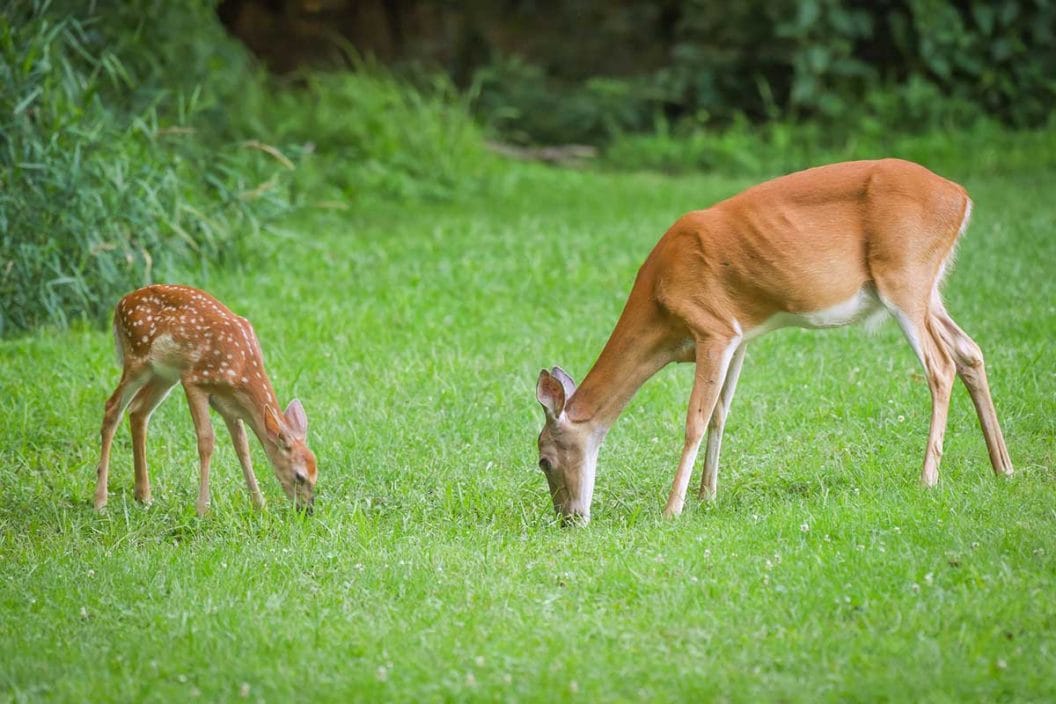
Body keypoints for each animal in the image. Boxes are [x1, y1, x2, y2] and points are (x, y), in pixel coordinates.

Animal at [96, 284, 312, 512]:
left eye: (316, 472)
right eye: (300, 476)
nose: (308, 509)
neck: (240, 367)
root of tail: (121, 303)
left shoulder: (229, 405)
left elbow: (242, 447)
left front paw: (259, 504)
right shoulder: (194, 381)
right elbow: (206, 440)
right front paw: (202, 508)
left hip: (165, 375)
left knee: (138, 411)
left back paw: (144, 496)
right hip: (137, 359)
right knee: (112, 407)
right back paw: (100, 501)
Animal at [536, 158, 1013, 523]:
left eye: (543, 459)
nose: (568, 519)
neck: (661, 308)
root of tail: (960, 196)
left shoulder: (712, 325)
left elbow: (694, 420)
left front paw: (672, 509)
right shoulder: (739, 335)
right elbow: (720, 414)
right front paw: (707, 496)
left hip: (905, 276)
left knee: (940, 365)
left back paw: (928, 478)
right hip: (928, 288)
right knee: (969, 351)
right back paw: (1003, 468)